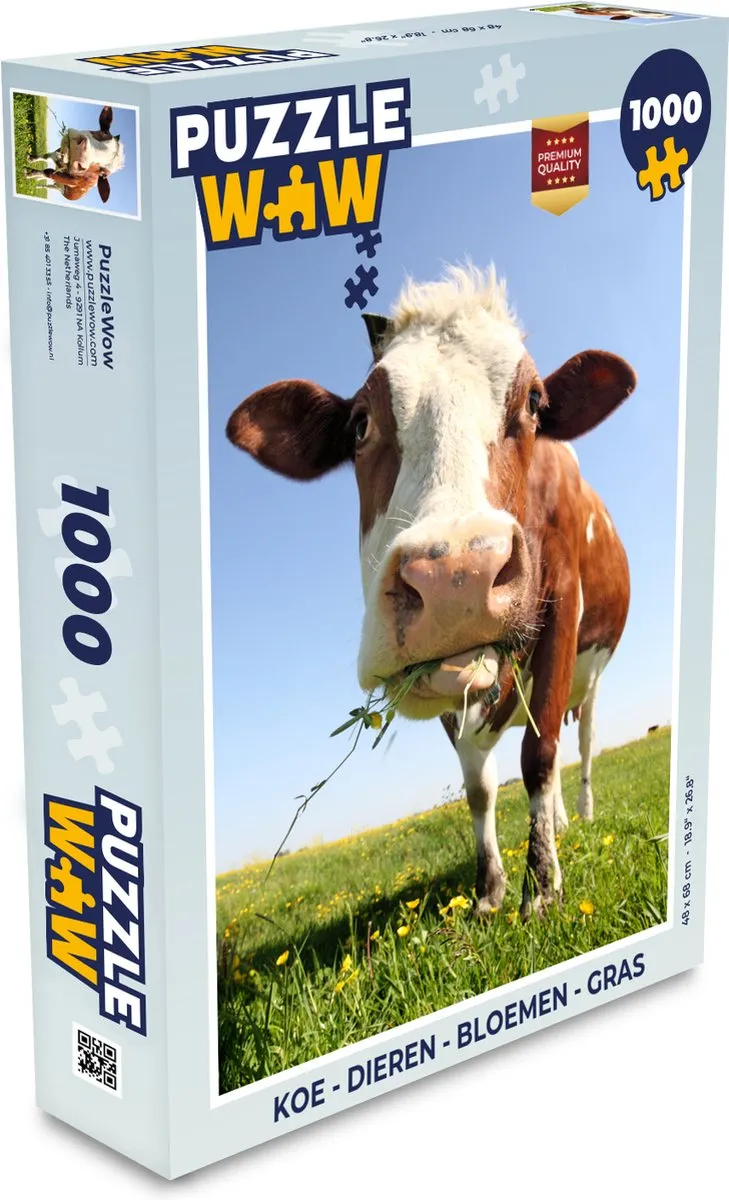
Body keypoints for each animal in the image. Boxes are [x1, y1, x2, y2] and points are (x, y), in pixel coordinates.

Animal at [226, 266, 634, 920]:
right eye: (360, 423)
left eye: (535, 402)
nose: (456, 579)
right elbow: (479, 786)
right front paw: (490, 891)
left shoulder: (561, 607)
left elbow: (540, 755)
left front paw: (542, 888)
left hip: (591, 679)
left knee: (583, 743)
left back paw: (584, 816)